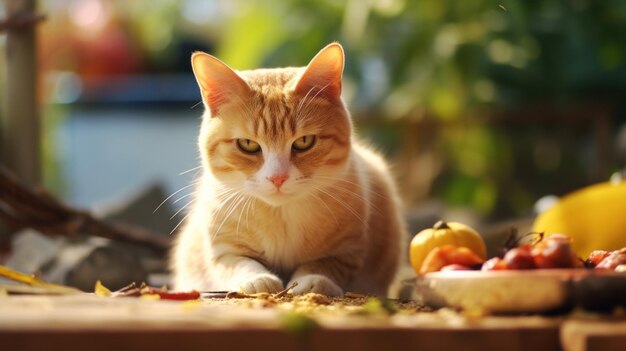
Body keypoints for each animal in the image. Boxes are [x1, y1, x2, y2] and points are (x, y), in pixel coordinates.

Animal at [171, 43, 404, 296]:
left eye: (304, 142)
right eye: (248, 144)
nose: (277, 178)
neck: (280, 215)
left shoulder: (348, 251)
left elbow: (325, 264)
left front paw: (311, 279)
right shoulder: (224, 248)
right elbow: (238, 263)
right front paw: (256, 279)